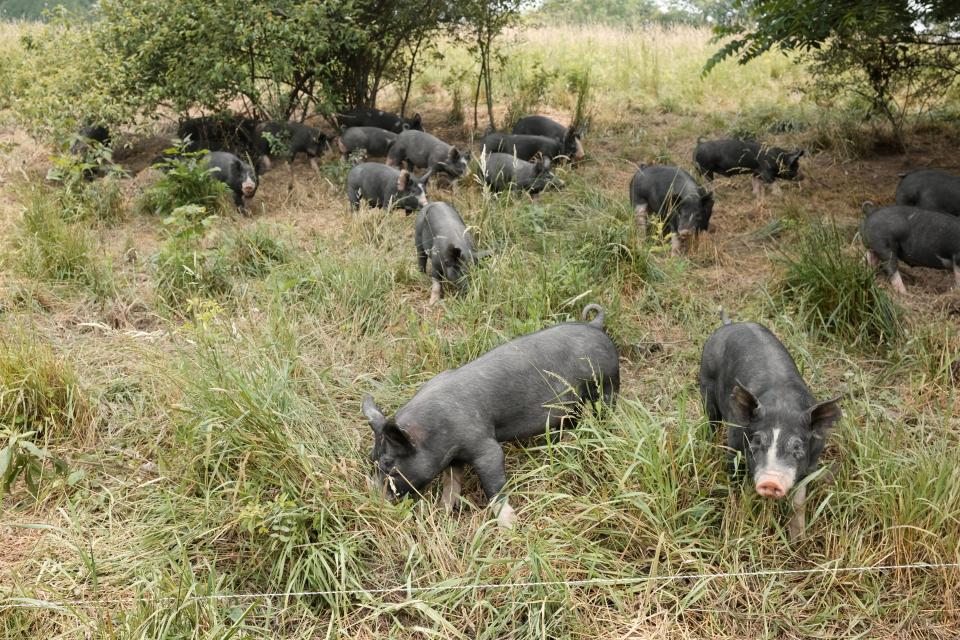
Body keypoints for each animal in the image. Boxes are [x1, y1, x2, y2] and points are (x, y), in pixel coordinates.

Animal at [356, 304, 620, 528]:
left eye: (389, 465)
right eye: (372, 458)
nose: (372, 501)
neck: (433, 432)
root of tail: (596, 325)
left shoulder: (484, 444)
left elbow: (493, 486)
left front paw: (509, 528)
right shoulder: (453, 458)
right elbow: (451, 485)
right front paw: (443, 512)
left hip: (607, 383)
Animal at [696, 312, 840, 544]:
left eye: (797, 446)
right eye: (756, 440)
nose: (771, 481)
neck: (782, 404)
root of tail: (730, 324)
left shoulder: (812, 461)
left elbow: (799, 502)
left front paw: (797, 543)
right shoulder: (735, 440)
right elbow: (736, 482)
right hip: (706, 383)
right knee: (711, 420)